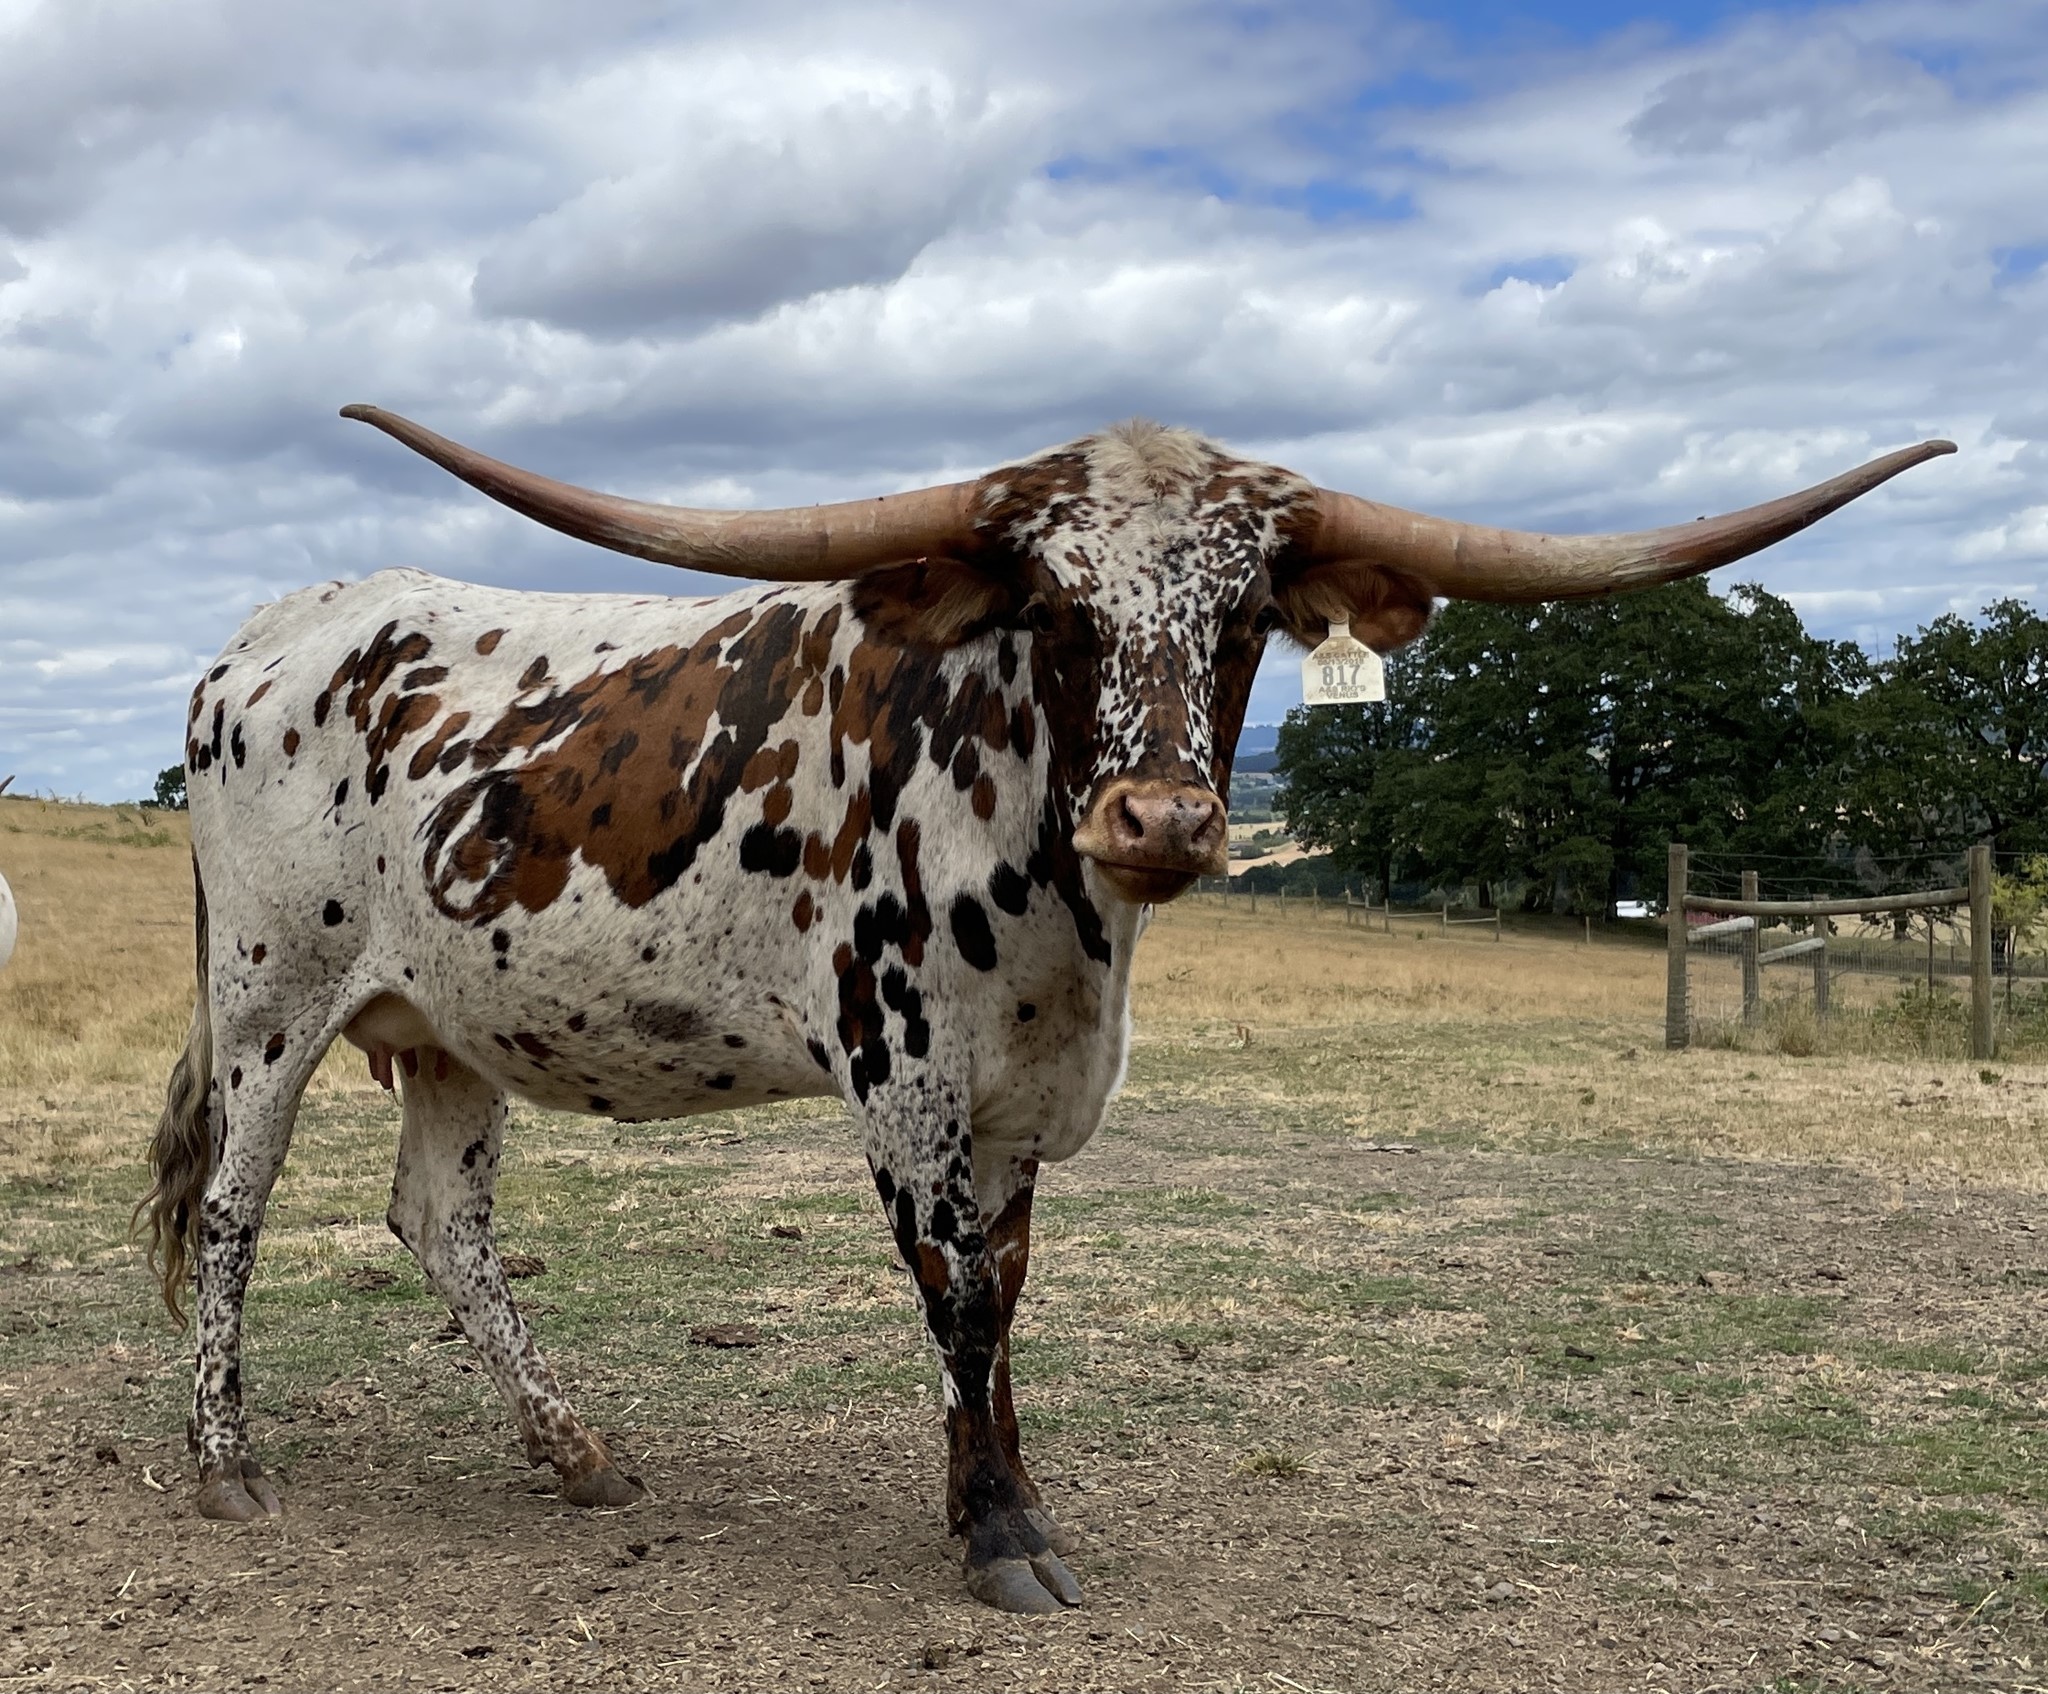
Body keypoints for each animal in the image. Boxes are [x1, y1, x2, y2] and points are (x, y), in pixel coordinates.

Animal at [140, 407, 1950, 1612]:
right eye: (1057, 610)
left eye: (1246, 617)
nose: (1161, 819)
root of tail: (268, 636)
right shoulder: (904, 1084)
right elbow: (953, 1302)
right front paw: (1001, 1536)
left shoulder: (1022, 1100)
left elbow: (1005, 1299)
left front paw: (1000, 1497)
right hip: (273, 992)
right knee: (232, 1205)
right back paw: (227, 1458)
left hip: (450, 1023)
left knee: (438, 1217)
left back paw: (574, 1448)